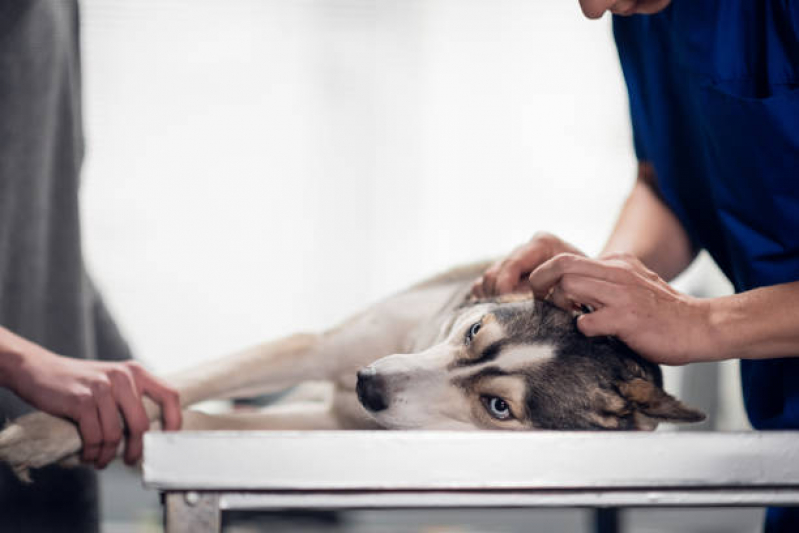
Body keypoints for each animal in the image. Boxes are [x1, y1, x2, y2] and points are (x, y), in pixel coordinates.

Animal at [0, 260, 704, 478]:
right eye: (474, 331)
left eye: (498, 407)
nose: (369, 384)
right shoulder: (318, 348)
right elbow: (186, 383)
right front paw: (49, 429)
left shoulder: (338, 429)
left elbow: (194, 418)